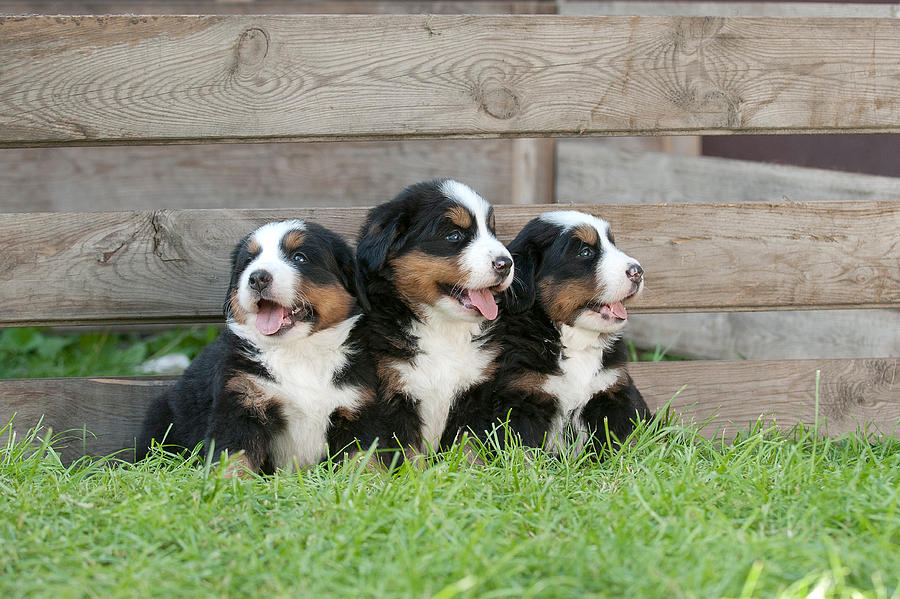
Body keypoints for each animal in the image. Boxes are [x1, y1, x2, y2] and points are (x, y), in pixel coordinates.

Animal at [136, 219, 370, 474]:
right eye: (248, 261)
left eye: (299, 257)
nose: (257, 277)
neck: (298, 351)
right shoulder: (240, 403)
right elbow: (235, 459)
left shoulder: (356, 410)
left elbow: (364, 460)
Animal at [356, 178, 516, 460]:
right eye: (454, 236)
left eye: (492, 231)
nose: (505, 263)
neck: (443, 329)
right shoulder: (393, 397)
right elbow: (409, 455)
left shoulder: (476, 394)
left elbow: (468, 449)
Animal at [478, 211, 652, 454]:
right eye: (585, 252)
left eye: (612, 244)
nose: (638, 271)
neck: (576, 342)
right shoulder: (521, 396)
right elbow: (522, 451)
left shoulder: (613, 392)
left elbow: (621, 445)